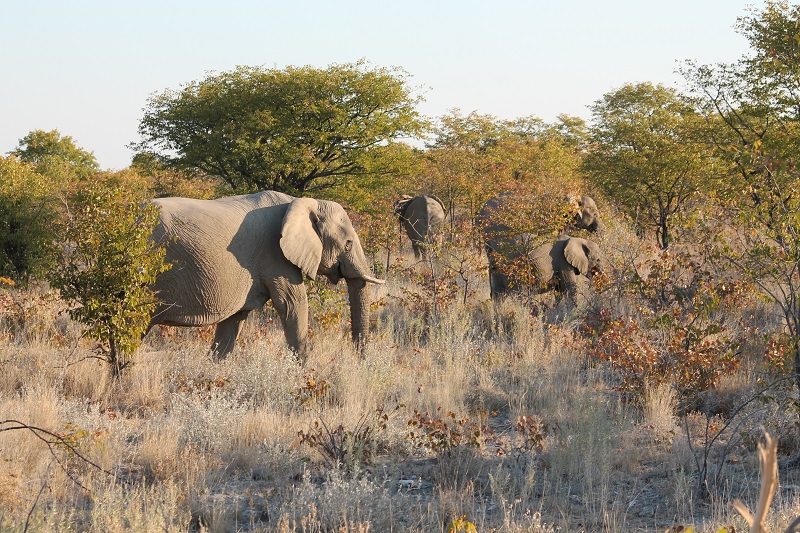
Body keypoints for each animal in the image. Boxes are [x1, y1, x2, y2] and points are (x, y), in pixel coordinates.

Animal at [148, 189, 384, 360]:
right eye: (348, 244)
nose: (358, 361)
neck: (301, 202)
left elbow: (234, 320)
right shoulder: (275, 255)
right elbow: (293, 303)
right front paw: (304, 374)